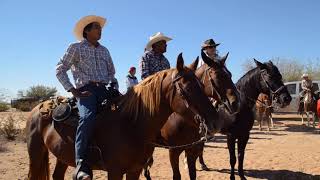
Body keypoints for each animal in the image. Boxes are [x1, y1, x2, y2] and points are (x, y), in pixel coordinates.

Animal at [26, 53, 224, 180]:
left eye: (202, 85)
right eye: (187, 89)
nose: (216, 122)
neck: (131, 126)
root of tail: (38, 108)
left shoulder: (134, 170)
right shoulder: (115, 172)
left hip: (61, 157)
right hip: (35, 154)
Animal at [143, 51, 240, 180]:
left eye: (229, 74)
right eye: (218, 76)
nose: (236, 103)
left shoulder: (192, 150)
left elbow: (193, 173)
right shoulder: (173, 152)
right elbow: (176, 176)